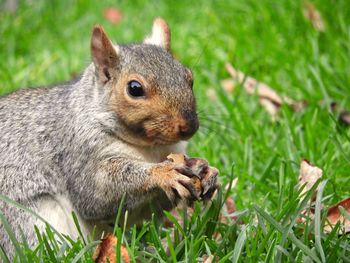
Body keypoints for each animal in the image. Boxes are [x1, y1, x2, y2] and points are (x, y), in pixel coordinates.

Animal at [0, 17, 219, 256]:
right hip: (30, 220)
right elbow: (97, 194)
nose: (189, 127)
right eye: (134, 88)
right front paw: (164, 174)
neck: (151, 148)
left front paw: (205, 170)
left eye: (189, 78)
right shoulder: (78, 153)